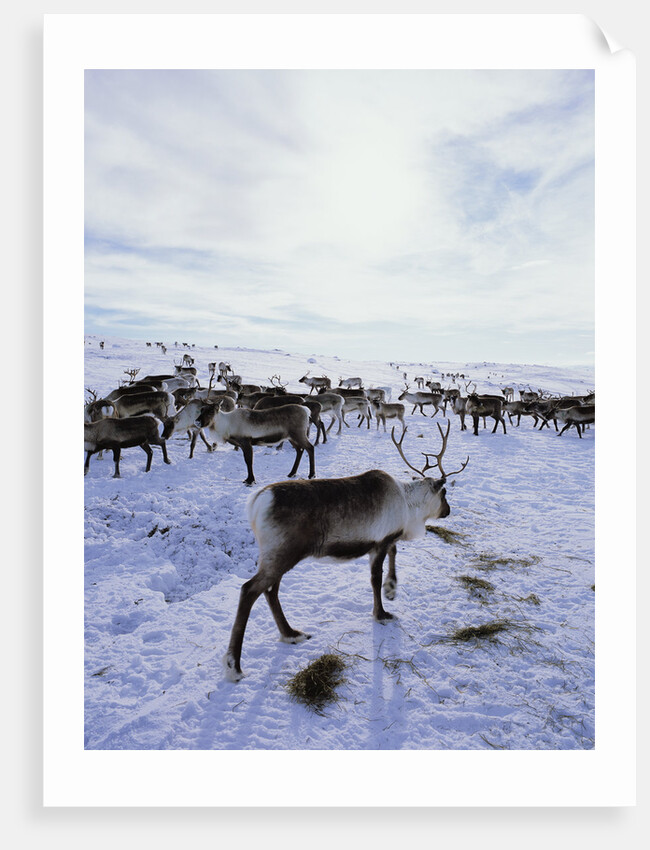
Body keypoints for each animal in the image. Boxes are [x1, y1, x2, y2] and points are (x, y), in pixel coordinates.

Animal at [222, 421, 469, 682]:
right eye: (444, 493)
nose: (448, 511)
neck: (409, 506)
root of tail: (257, 501)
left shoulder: (386, 539)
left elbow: (394, 553)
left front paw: (392, 589)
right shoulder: (380, 542)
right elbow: (375, 577)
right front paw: (381, 612)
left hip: (276, 555)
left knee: (270, 590)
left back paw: (291, 634)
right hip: (283, 552)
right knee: (249, 590)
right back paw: (234, 665)